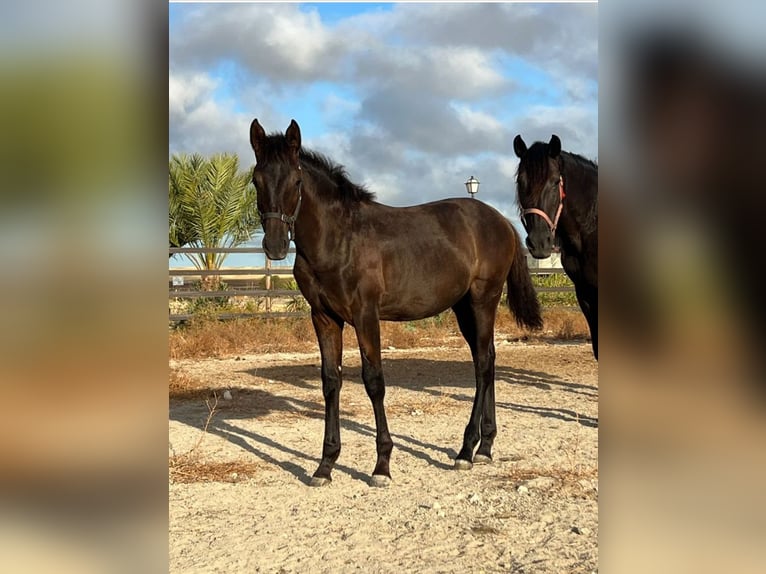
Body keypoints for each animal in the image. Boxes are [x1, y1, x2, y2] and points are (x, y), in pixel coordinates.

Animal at [250, 118, 543, 487]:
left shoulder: (365, 315)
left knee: (483, 366)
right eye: (256, 180)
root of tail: (502, 221)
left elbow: (374, 381)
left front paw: (381, 466)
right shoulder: (324, 317)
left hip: (483, 300)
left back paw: (466, 450)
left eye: (297, 180)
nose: (274, 245)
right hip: (463, 307)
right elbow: (331, 382)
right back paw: (485, 446)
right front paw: (325, 465)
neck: (339, 238)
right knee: (485, 357)